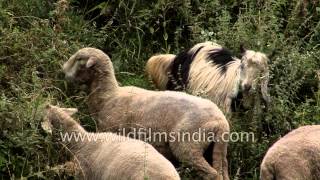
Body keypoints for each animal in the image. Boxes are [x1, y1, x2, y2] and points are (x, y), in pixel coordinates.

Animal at [62, 47, 231, 179]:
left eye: (79, 59)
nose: (63, 70)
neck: (108, 96)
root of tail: (221, 122)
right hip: (218, 149)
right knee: (222, 170)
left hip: (188, 145)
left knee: (211, 173)